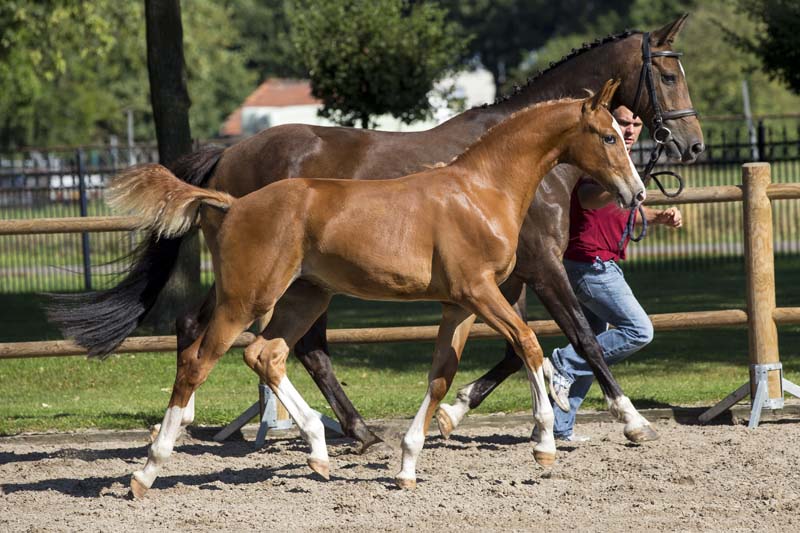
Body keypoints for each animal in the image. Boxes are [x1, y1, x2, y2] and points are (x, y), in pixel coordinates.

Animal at [109, 80, 644, 494]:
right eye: (608, 136)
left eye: (623, 134)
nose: (636, 193)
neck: (480, 191)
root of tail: (231, 202)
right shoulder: (481, 291)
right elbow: (532, 343)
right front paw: (547, 442)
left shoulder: (459, 305)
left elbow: (442, 374)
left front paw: (407, 463)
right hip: (247, 298)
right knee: (201, 360)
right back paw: (148, 469)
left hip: (305, 295)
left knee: (268, 354)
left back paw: (320, 450)